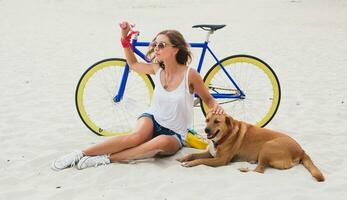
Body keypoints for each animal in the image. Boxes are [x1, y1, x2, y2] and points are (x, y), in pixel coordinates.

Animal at [177, 111, 326, 182]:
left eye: (217, 121)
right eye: (207, 120)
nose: (206, 130)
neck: (226, 134)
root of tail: (301, 150)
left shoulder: (220, 160)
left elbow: (201, 160)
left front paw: (189, 164)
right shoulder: (211, 153)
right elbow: (194, 154)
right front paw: (183, 158)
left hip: (267, 146)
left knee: (259, 171)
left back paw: (244, 169)